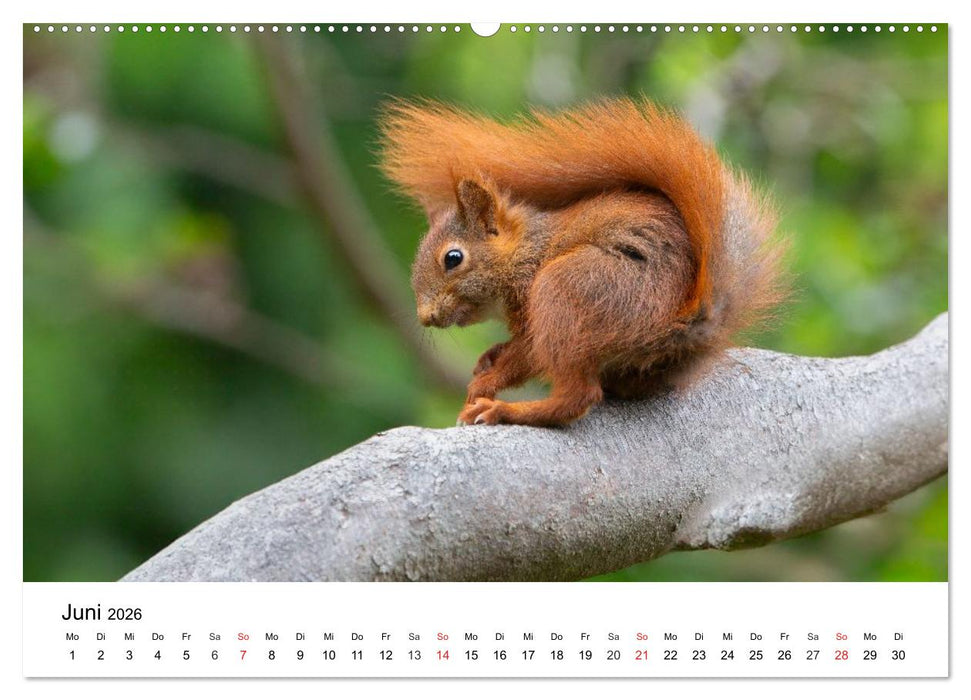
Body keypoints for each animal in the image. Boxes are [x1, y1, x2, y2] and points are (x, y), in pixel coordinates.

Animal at [378, 97, 788, 428]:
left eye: (453, 258)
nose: (426, 317)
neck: (528, 249)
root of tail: (683, 320)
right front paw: (489, 357)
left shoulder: (531, 293)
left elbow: (527, 354)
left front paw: (485, 382)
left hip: (570, 287)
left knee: (578, 397)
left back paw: (509, 411)